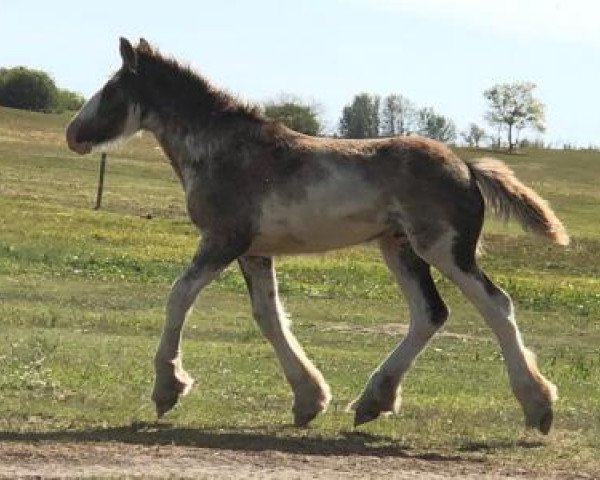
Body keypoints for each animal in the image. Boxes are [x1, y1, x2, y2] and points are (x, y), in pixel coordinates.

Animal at [68, 37, 568, 434]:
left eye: (112, 88)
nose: (73, 133)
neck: (224, 149)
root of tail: (467, 166)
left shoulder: (222, 240)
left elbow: (178, 296)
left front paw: (167, 389)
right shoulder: (254, 252)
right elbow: (269, 317)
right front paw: (308, 400)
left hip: (444, 249)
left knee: (496, 305)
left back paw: (538, 407)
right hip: (398, 247)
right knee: (430, 313)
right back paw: (373, 401)